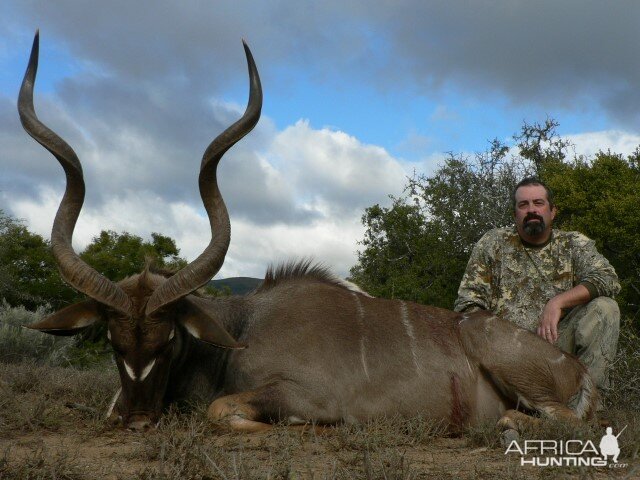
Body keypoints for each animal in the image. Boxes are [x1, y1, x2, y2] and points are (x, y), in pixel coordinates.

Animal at [21, 31, 600, 434]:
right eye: (113, 342)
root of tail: (576, 371)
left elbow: (222, 410)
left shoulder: (306, 396)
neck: (241, 331)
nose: (138, 420)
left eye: (167, 342)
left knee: (567, 419)